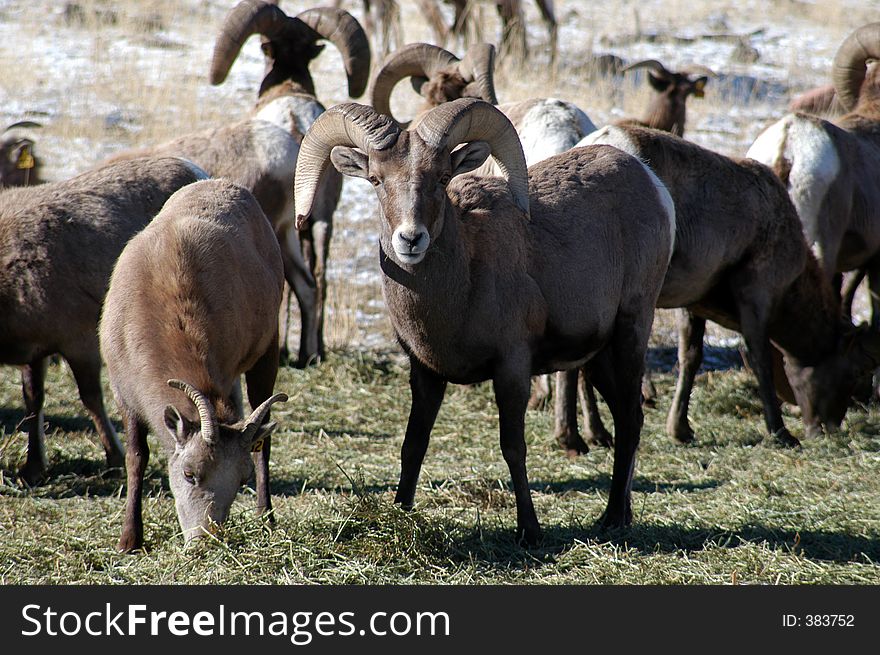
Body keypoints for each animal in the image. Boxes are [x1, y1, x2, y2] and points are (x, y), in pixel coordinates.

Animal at [0, 158, 207, 486]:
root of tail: (196, 173)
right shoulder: (35, 352)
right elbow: (33, 402)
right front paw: (32, 469)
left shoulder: (79, 343)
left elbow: (91, 399)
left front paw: (115, 458)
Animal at [100, 179, 288, 552]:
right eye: (189, 474)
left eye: (240, 479)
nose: (205, 541)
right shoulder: (123, 395)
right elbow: (136, 457)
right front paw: (130, 540)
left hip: (267, 354)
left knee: (264, 442)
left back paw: (267, 518)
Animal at [292, 98, 672, 544]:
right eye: (375, 179)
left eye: (441, 178)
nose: (411, 239)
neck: (464, 280)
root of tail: (652, 183)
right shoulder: (425, 374)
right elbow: (413, 445)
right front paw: (401, 512)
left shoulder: (512, 369)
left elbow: (513, 448)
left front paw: (529, 530)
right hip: (596, 356)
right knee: (628, 417)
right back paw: (622, 515)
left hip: (631, 330)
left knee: (630, 419)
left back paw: (611, 518)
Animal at [560, 124, 880, 452]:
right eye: (857, 371)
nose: (829, 427)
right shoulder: (756, 293)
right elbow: (760, 360)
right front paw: (780, 433)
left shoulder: (692, 300)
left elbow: (690, 358)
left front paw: (680, 430)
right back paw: (577, 438)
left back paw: (592, 435)